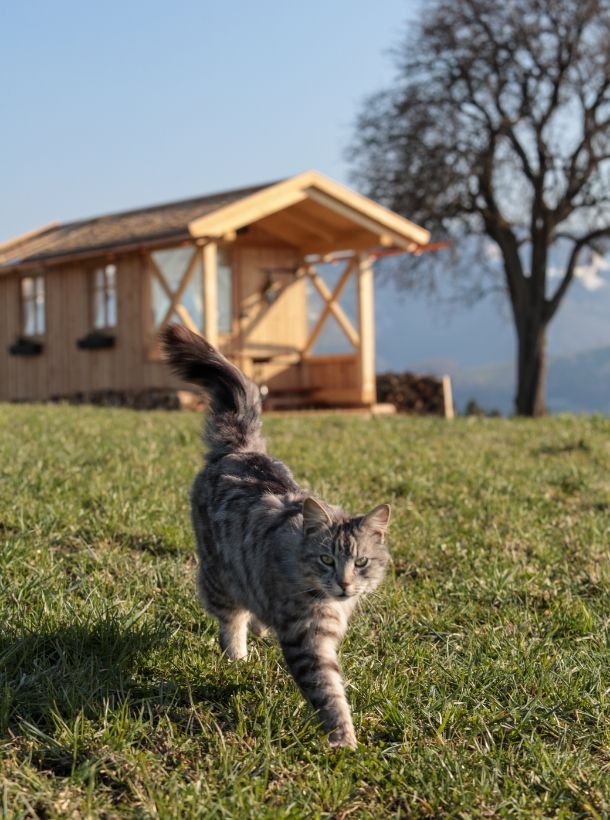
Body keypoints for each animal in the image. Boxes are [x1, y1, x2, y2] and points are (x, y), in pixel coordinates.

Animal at [160, 324, 390, 748]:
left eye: (362, 562)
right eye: (327, 560)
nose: (345, 584)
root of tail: (241, 448)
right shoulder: (306, 639)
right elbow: (329, 692)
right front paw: (344, 741)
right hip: (219, 575)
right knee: (231, 620)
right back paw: (237, 657)